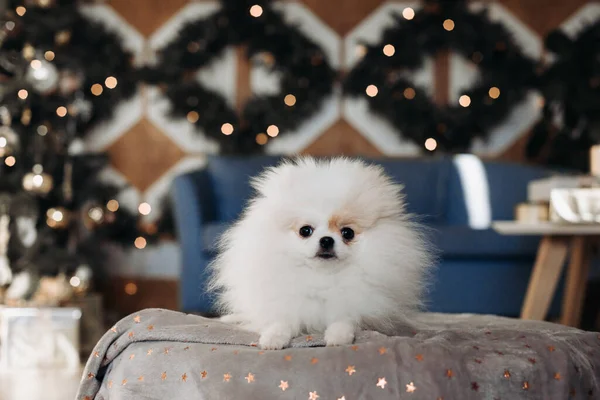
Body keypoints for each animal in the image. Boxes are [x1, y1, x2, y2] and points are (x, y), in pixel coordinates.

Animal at [209, 156, 434, 350]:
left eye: (347, 233)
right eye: (305, 231)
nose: (326, 240)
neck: (322, 277)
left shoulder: (355, 306)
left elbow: (344, 321)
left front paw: (337, 337)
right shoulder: (286, 304)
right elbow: (280, 322)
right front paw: (272, 339)